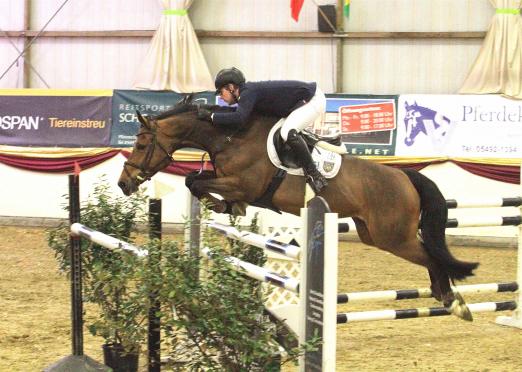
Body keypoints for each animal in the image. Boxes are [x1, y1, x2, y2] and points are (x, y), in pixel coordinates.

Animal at [120, 94, 478, 318]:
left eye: (140, 143)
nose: (125, 183)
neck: (231, 137)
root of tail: (405, 176)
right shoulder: (229, 181)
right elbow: (196, 181)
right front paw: (228, 208)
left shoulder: (244, 184)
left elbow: (194, 183)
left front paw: (226, 207)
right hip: (374, 234)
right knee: (429, 253)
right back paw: (446, 298)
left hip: (393, 237)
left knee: (432, 256)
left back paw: (454, 302)